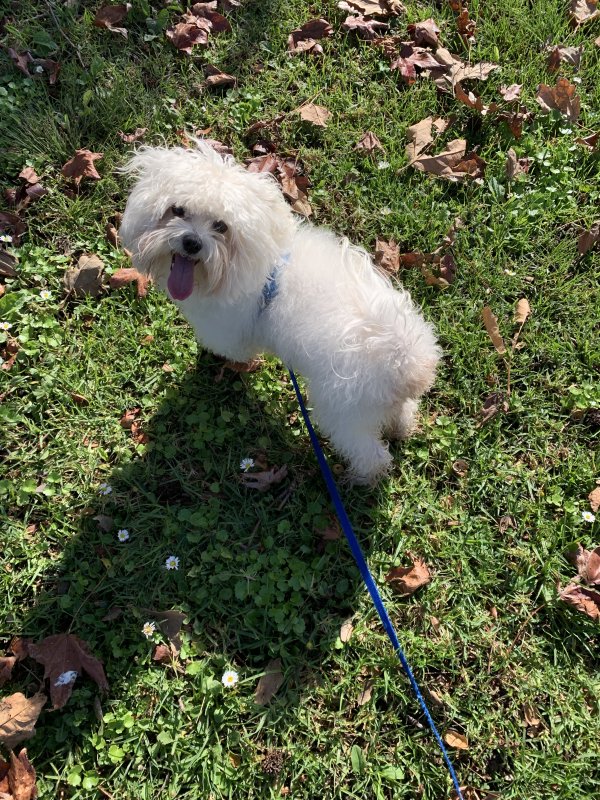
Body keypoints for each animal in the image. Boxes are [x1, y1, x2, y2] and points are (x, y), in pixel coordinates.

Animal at [120, 141, 440, 484]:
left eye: (221, 226)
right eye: (177, 210)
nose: (192, 242)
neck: (256, 264)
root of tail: (408, 363)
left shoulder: (228, 329)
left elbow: (228, 348)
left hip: (344, 413)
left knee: (371, 455)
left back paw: (360, 479)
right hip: (379, 405)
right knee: (402, 414)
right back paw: (401, 430)